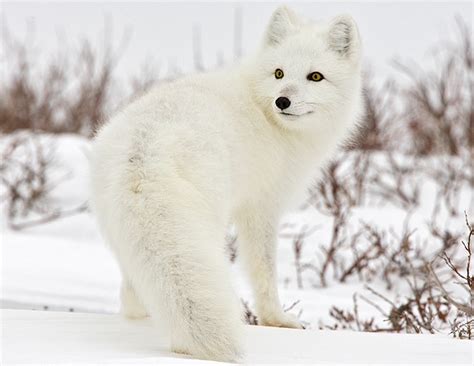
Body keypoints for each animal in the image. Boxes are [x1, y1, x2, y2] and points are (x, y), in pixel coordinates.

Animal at [90, 5, 362, 364]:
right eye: (279, 73)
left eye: (315, 77)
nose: (282, 101)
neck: (266, 116)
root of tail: (144, 151)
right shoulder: (262, 209)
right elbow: (264, 272)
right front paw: (276, 319)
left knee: (132, 293)